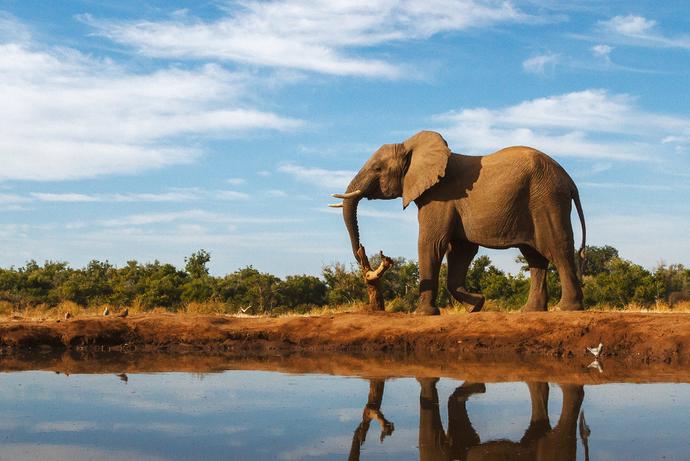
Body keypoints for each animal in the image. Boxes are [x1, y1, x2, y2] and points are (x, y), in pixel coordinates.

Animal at [332, 130, 586, 314]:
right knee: (535, 257)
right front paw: (476, 305)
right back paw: (530, 311)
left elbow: (432, 244)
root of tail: (570, 181)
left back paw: (565, 309)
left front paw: (423, 314)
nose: (363, 253)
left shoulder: (440, 197)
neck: (410, 146)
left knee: (557, 248)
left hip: (546, 201)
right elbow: (460, 250)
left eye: (377, 169)